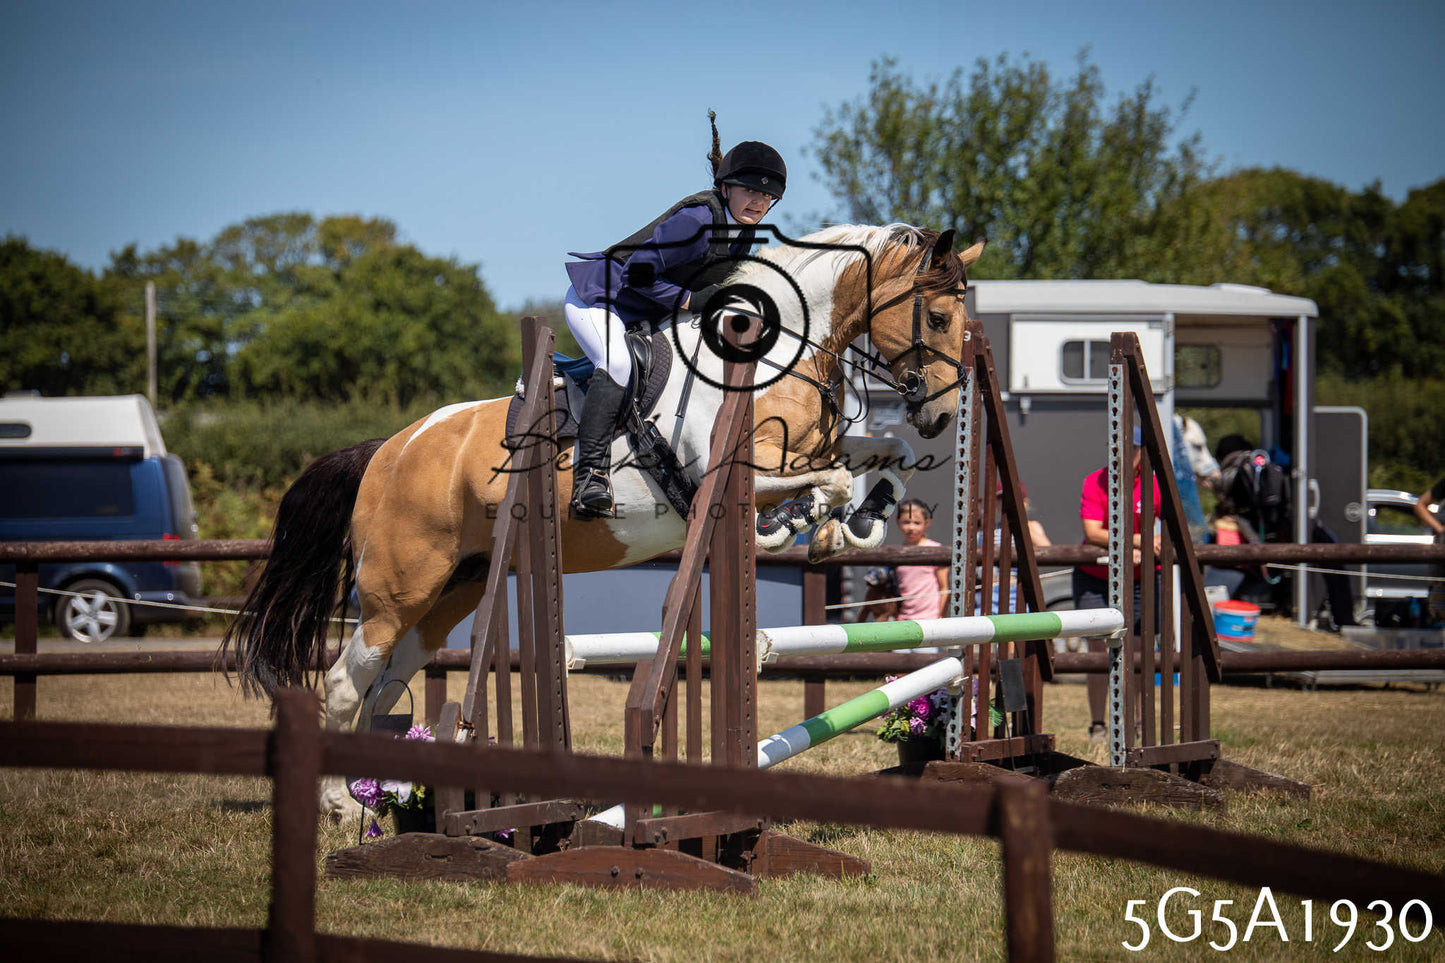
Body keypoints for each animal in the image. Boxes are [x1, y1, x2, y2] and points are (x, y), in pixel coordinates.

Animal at [224, 223, 984, 814]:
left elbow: (881, 454)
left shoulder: (818, 446)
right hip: (398, 586)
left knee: (387, 684)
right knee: (347, 680)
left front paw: (858, 522)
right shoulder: (732, 470)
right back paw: (337, 803)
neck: (779, 352)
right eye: (938, 318)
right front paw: (807, 523)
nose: (943, 414)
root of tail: (388, 448)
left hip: (456, 588)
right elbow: (828, 478)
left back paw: (389, 796)